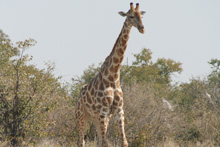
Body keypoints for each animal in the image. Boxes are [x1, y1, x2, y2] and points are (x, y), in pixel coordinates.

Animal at [75, 2, 145, 146]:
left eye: (141, 16)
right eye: (131, 16)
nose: (142, 28)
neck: (113, 76)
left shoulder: (119, 110)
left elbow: (124, 142)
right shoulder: (103, 111)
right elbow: (105, 143)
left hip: (97, 118)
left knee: (97, 140)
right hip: (82, 116)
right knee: (81, 141)